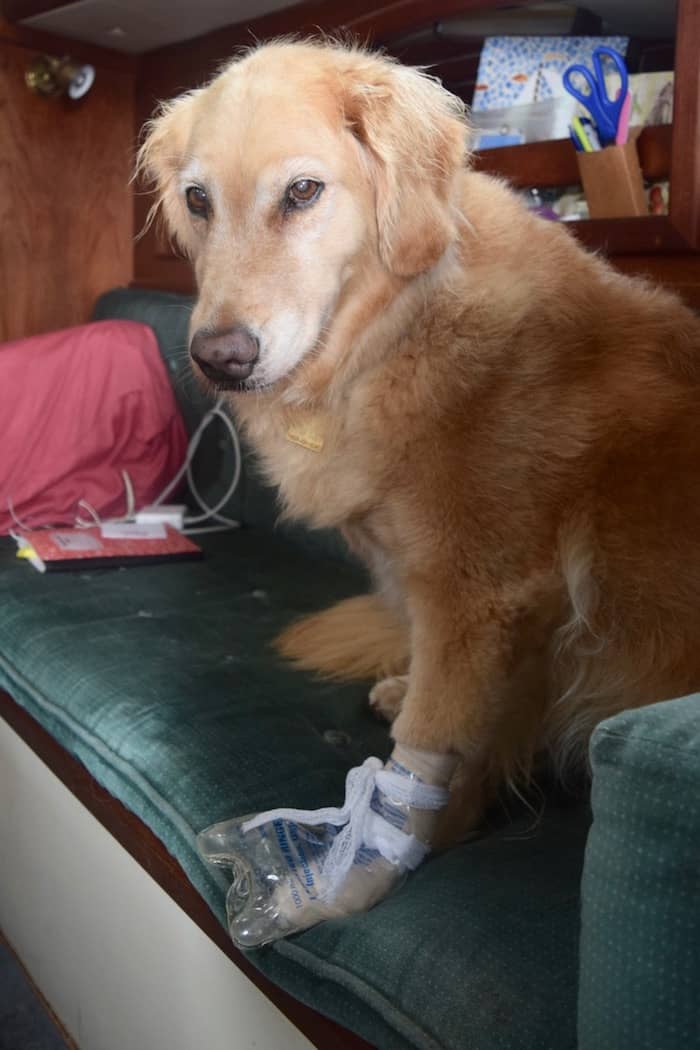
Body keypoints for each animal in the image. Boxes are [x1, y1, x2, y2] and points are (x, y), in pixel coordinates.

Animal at [140, 38, 700, 844]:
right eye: (198, 200)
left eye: (303, 192)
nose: (220, 360)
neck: (388, 330)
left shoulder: (480, 597)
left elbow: (441, 733)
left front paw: (411, 833)